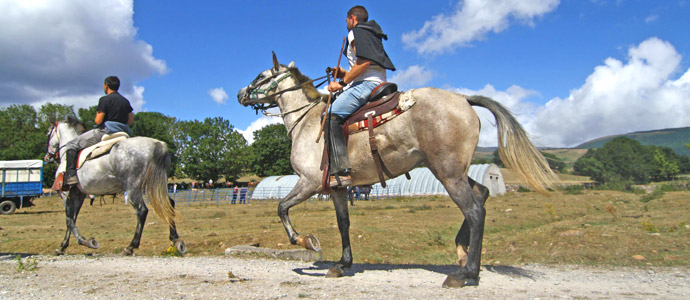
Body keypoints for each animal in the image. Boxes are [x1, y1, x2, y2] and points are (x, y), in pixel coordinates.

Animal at [45, 117, 187, 255]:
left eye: (48, 134)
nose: (47, 157)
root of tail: (156, 144)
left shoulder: (66, 194)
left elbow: (69, 218)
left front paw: (83, 242)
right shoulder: (78, 194)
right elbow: (73, 218)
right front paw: (65, 245)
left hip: (133, 188)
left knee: (141, 211)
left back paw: (130, 246)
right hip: (154, 185)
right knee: (169, 204)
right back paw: (176, 239)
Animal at [238, 52, 560, 288]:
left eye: (261, 76)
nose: (241, 93)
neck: (306, 121)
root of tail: (463, 98)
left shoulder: (309, 182)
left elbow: (282, 207)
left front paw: (305, 241)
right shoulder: (339, 187)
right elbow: (343, 224)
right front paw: (342, 264)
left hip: (447, 172)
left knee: (474, 210)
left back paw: (466, 273)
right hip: (449, 169)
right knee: (481, 192)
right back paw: (461, 254)